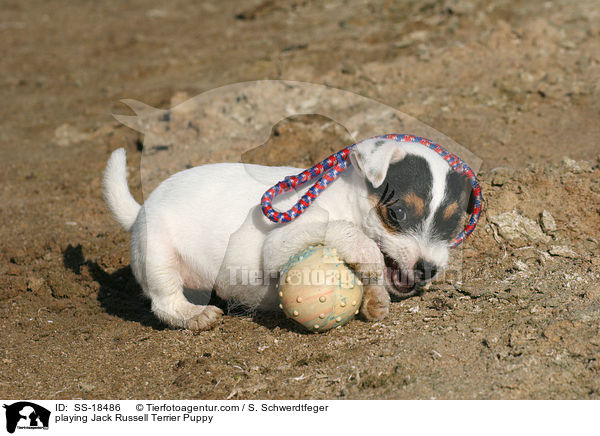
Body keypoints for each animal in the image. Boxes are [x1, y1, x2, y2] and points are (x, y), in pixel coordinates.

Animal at [103, 138, 474, 328]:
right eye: (396, 214)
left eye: (453, 224)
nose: (428, 269)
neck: (345, 197)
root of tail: (139, 211)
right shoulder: (280, 241)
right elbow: (348, 235)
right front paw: (367, 256)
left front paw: (374, 300)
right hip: (157, 253)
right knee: (163, 302)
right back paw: (193, 315)